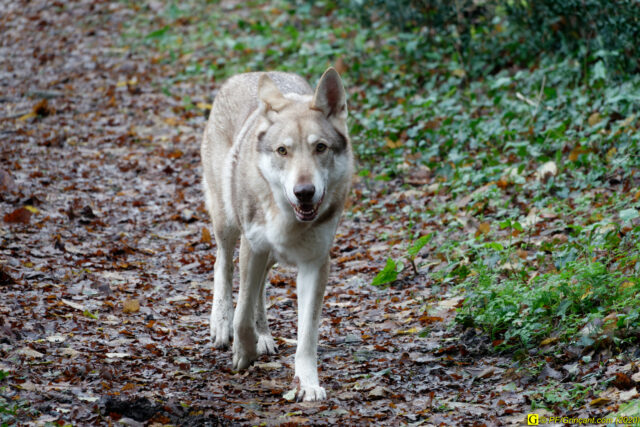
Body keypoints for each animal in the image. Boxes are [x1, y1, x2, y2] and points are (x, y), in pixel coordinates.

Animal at [200, 67, 353, 401]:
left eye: (320, 147)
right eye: (283, 151)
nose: (304, 192)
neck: (288, 218)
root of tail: (252, 73)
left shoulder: (315, 265)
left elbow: (307, 335)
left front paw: (307, 384)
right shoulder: (252, 247)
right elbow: (241, 314)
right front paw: (243, 354)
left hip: (268, 256)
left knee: (258, 290)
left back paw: (265, 336)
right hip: (228, 224)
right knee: (222, 265)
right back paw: (221, 325)